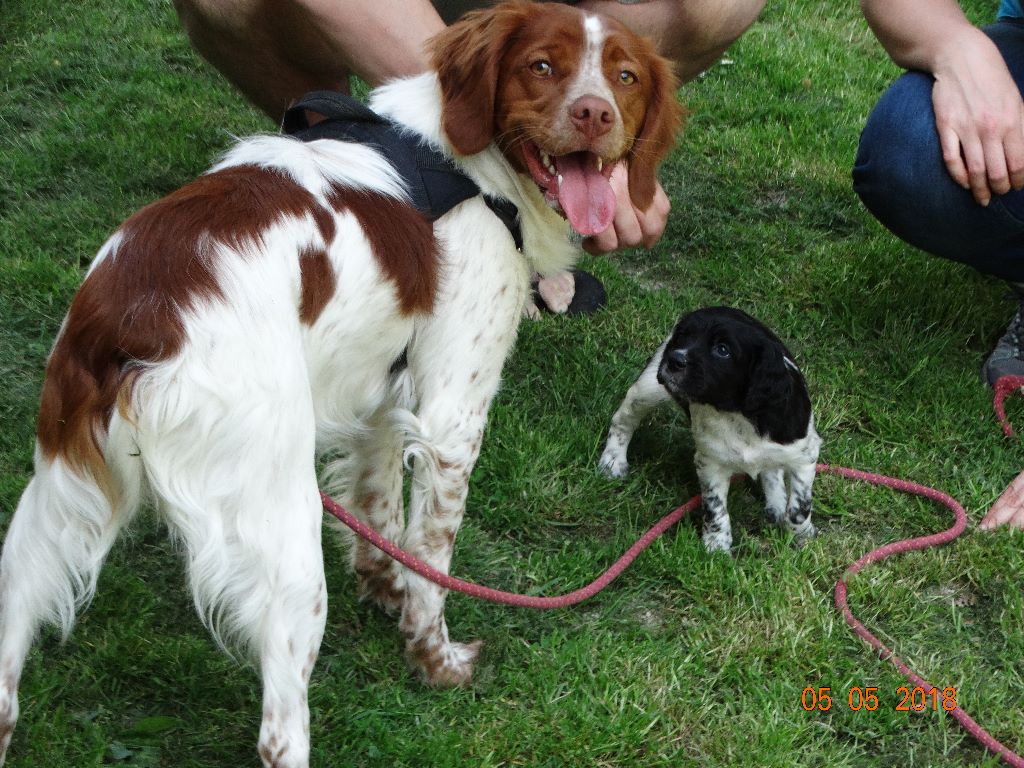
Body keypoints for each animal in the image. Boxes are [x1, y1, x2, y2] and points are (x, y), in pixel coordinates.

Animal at [0, 3, 684, 765]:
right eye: (542, 65)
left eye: (625, 76)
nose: (595, 114)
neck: (476, 168)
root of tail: (139, 314)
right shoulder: (452, 418)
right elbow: (430, 559)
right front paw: (434, 660)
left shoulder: (383, 390)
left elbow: (381, 508)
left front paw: (382, 590)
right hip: (283, 531)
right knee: (279, 729)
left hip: (53, 503)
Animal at [598, 307, 819, 552]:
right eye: (683, 336)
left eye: (722, 350)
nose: (674, 359)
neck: (736, 414)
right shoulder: (712, 463)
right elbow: (715, 509)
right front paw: (717, 546)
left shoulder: (804, 456)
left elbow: (800, 507)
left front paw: (802, 536)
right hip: (648, 390)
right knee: (623, 420)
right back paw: (612, 461)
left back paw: (776, 503)